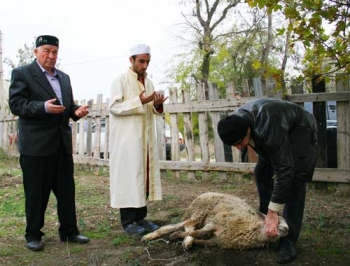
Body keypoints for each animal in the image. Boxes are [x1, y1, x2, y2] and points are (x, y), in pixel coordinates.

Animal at [141, 191, 288, 249]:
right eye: (278, 223)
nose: (286, 230)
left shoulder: (217, 240)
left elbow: (202, 241)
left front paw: (189, 240)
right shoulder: (216, 222)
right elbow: (196, 232)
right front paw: (186, 238)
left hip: (198, 215)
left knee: (176, 226)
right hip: (201, 211)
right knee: (189, 226)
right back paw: (184, 239)